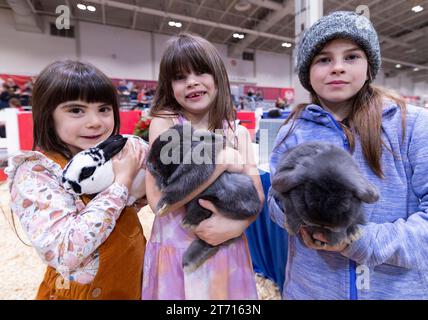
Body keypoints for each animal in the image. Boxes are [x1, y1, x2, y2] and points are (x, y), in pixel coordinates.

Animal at [147, 124, 260, 272]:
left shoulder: (193, 174)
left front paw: (162, 206)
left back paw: (188, 223)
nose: (149, 163)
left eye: (171, 148)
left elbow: (177, 189)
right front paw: (161, 185)